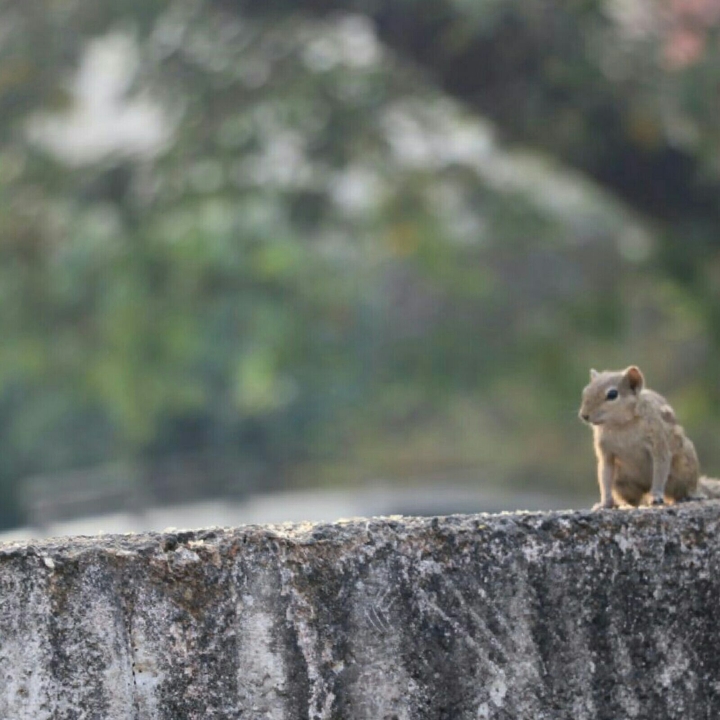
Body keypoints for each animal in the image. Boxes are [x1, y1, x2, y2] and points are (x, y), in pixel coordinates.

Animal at [579, 365, 720, 510]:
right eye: (586, 391)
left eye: (612, 394)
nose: (584, 415)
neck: (622, 424)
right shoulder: (605, 453)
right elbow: (605, 476)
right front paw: (604, 503)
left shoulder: (658, 440)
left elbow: (660, 469)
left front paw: (656, 496)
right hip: (621, 482)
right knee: (633, 498)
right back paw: (623, 504)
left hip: (685, 467)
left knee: (685, 489)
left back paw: (693, 495)